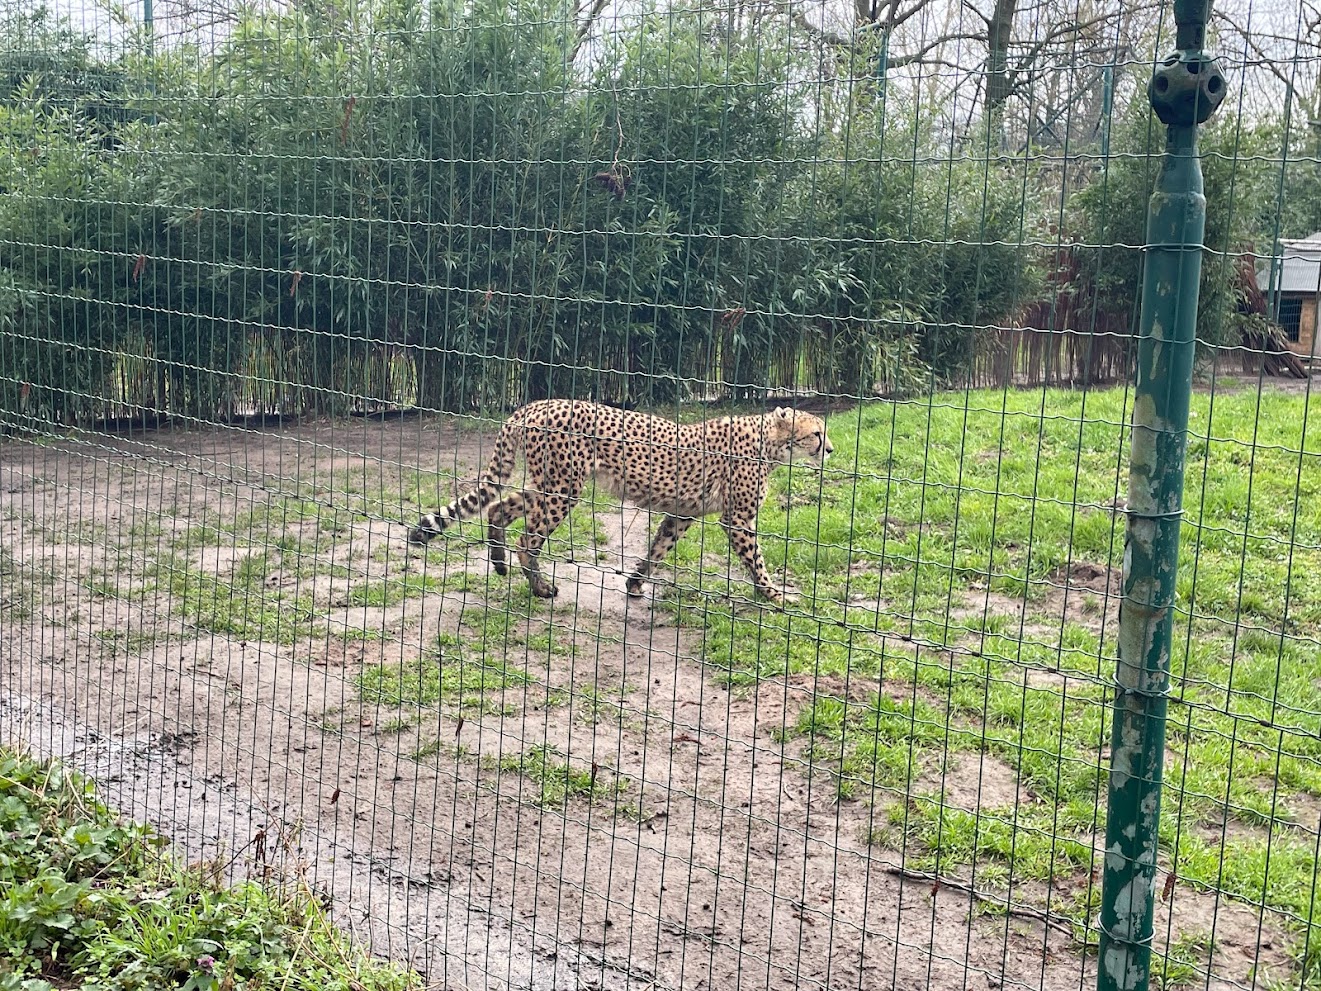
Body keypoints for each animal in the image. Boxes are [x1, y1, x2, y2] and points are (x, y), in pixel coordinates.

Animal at [406, 399, 834, 607]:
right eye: (816, 433)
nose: (830, 449)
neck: (769, 441)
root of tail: (535, 405)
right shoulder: (738, 519)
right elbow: (757, 561)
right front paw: (775, 596)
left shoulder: (682, 514)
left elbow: (659, 548)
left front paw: (635, 582)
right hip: (564, 489)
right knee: (527, 540)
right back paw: (541, 588)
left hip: (550, 484)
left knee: (499, 507)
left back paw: (498, 562)